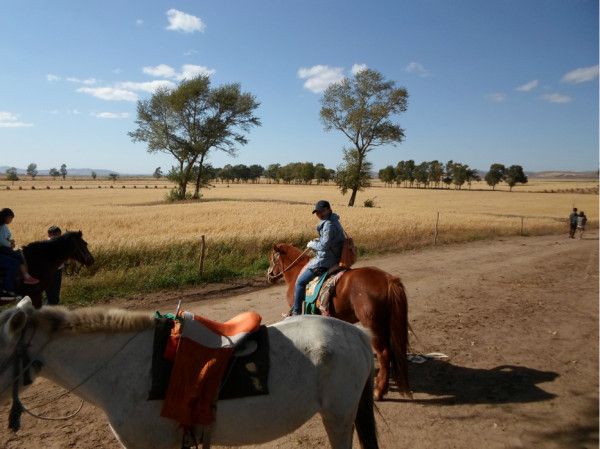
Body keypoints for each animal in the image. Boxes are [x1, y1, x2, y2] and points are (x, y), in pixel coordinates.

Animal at [270, 243, 410, 400]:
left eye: (272, 258)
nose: (269, 275)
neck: (296, 274)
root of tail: (388, 280)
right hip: (385, 324)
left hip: (373, 326)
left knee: (384, 354)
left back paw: (379, 391)